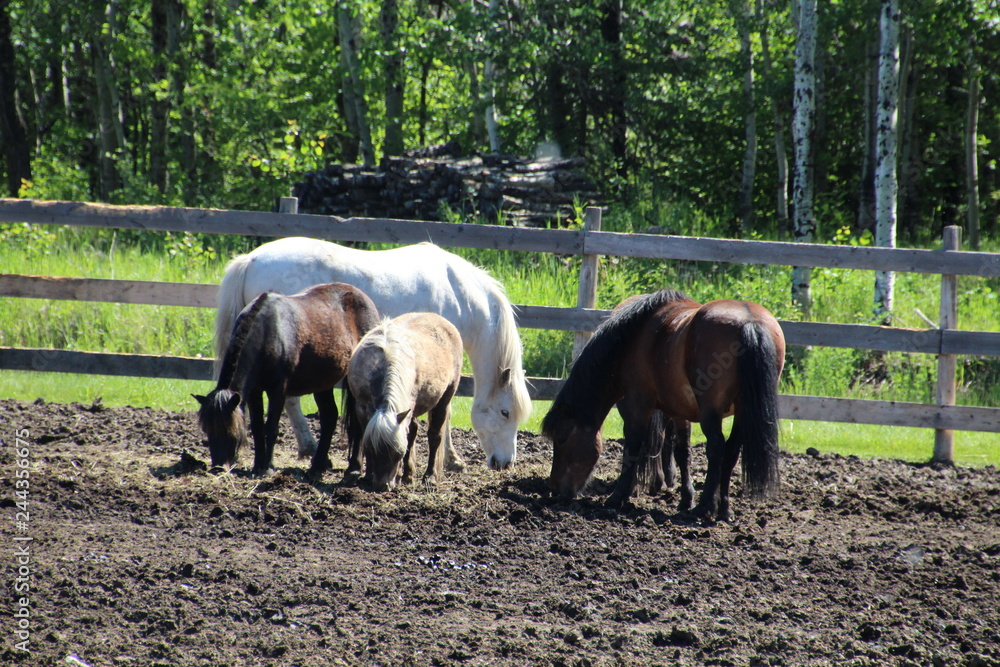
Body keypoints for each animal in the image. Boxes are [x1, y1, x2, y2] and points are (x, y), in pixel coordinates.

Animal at [194, 282, 379, 480]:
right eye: (207, 430)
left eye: (230, 431)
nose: (218, 468)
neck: (267, 332)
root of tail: (361, 296)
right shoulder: (254, 391)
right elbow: (257, 427)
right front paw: (257, 466)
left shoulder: (278, 389)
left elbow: (271, 427)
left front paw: (268, 467)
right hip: (323, 383)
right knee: (329, 418)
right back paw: (316, 468)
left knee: (356, 422)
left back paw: (353, 467)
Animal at [214, 237, 531, 471]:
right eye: (505, 412)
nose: (505, 463)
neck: (461, 294)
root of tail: (251, 259)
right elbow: (446, 413)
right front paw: (453, 459)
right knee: (291, 402)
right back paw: (312, 449)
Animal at [347, 312, 463, 491]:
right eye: (372, 449)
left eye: (397, 453)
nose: (382, 485)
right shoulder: (361, 407)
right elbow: (364, 433)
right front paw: (368, 474)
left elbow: (411, 437)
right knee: (414, 431)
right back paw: (408, 474)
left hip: (445, 398)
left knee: (434, 435)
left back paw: (429, 476)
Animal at [543, 289, 785, 522]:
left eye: (562, 439)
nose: (554, 489)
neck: (634, 337)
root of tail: (750, 323)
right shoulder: (680, 410)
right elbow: (682, 452)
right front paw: (686, 498)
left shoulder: (637, 403)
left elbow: (632, 447)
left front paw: (618, 496)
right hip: (742, 411)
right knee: (731, 451)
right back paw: (724, 509)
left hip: (710, 411)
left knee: (716, 447)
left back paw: (706, 506)